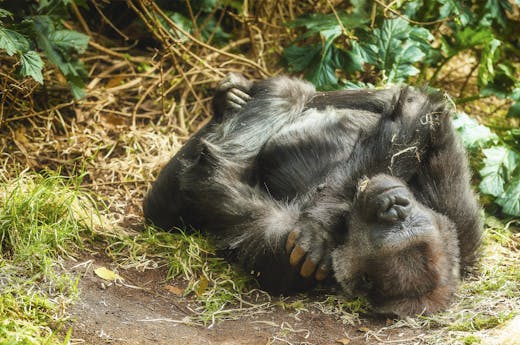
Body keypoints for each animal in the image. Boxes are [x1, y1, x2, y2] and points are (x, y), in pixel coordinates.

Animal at [143, 72, 484, 314]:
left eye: (390, 228)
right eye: (405, 218)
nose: (393, 205)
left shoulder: (282, 247)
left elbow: (219, 181)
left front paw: (317, 227)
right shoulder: (459, 219)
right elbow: (418, 115)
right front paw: (320, 225)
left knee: (224, 153)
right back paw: (230, 95)